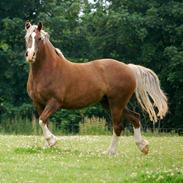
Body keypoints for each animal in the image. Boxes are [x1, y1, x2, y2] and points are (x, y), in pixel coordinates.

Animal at [24, 21, 169, 155]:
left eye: (39, 38)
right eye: (27, 37)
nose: (30, 55)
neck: (49, 70)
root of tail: (128, 68)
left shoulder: (55, 102)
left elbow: (42, 120)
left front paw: (52, 141)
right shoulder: (38, 103)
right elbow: (45, 121)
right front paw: (47, 146)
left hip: (117, 103)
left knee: (118, 126)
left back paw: (110, 152)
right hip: (109, 103)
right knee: (135, 117)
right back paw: (143, 146)